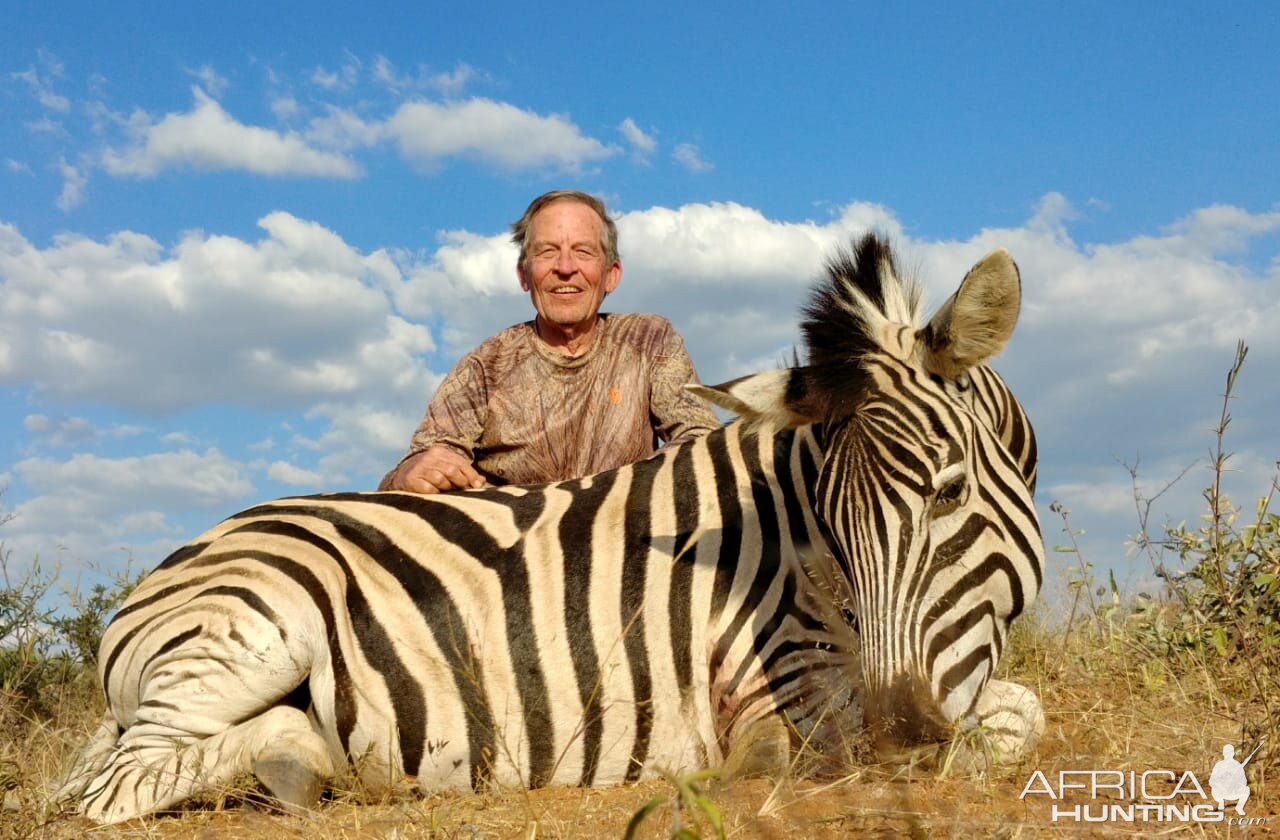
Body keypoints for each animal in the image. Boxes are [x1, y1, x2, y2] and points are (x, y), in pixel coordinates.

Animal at [55, 233, 1044, 824]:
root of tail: (166, 572)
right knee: (106, 788)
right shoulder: (790, 681)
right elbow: (996, 723)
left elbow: (1015, 713)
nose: (903, 737)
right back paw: (301, 761)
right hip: (252, 629)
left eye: (950, 493)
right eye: (834, 528)